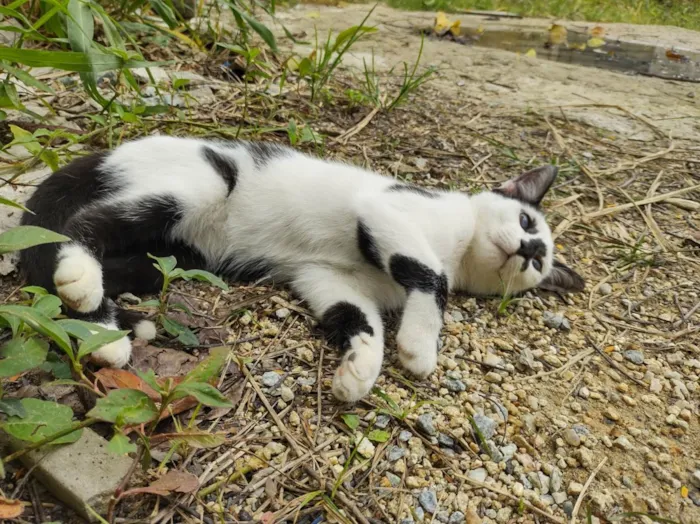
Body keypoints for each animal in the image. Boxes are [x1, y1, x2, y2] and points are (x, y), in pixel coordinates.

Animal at [17, 135, 584, 402]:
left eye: (539, 261)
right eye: (526, 219)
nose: (527, 250)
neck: (459, 245)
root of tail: (112, 150)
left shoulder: (325, 277)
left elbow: (356, 316)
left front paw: (360, 368)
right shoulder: (382, 210)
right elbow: (430, 274)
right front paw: (420, 346)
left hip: (181, 257)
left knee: (124, 264)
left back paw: (107, 328)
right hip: (204, 183)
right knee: (84, 225)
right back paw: (83, 286)